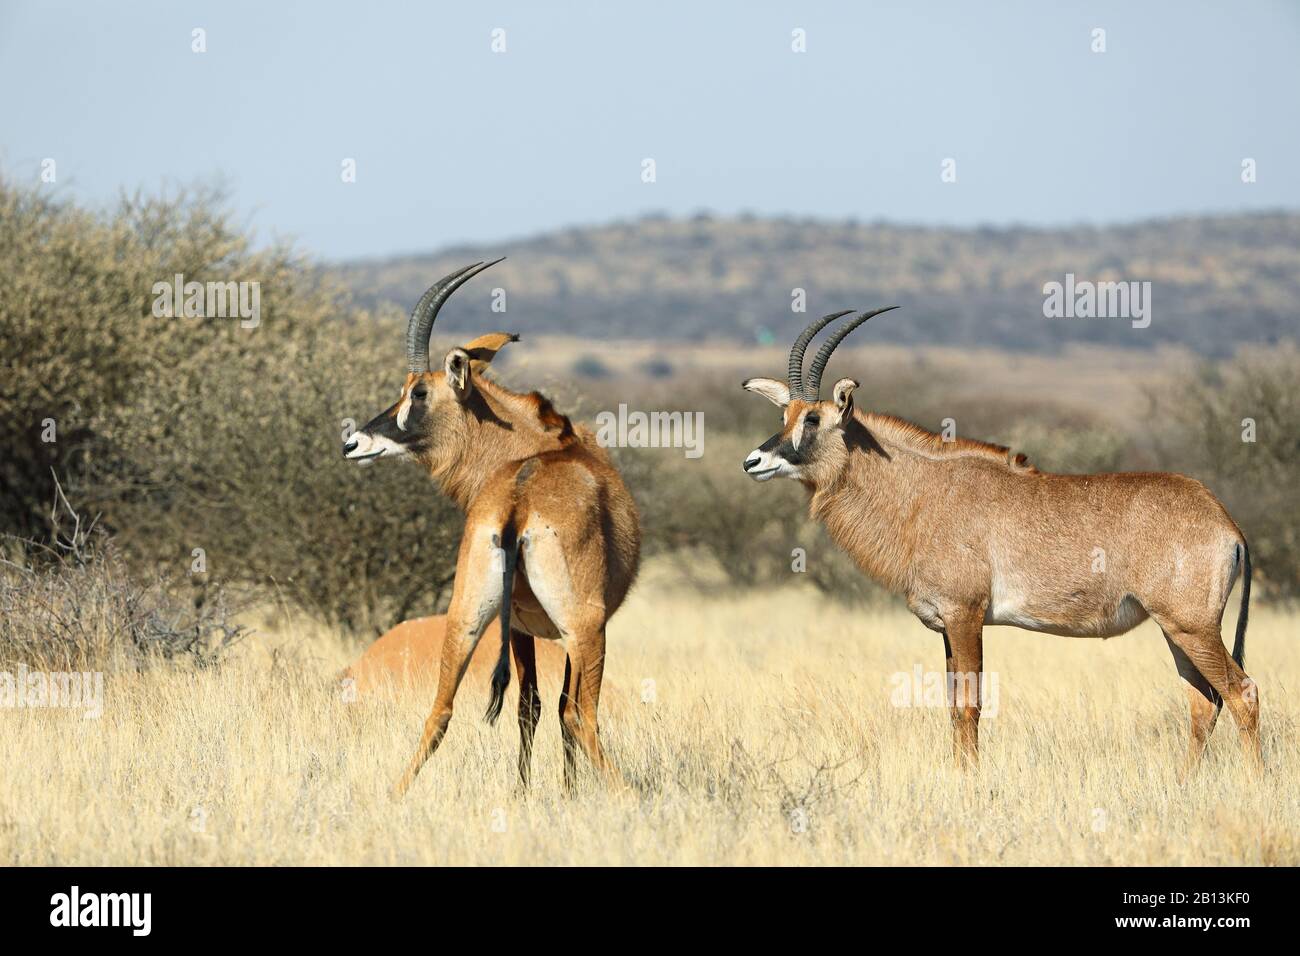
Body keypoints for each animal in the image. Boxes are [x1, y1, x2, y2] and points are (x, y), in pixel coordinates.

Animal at [343, 260, 642, 790]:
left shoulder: (520, 628)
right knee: (581, 716)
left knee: (440, 710)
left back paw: (396, 793)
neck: (534, 450)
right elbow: (557, 707)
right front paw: (566, 792)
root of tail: (518, 500)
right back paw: (627, 793)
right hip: (584, 627)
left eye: (418, 392)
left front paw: (525, 791)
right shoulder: (566, 631)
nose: (354, 442)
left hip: (465, 616)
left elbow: (529, 705)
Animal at [743, 310, 1258, 775]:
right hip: (1176, 629)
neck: (923, 490)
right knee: (1203, 702)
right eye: (785, 414)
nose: (753, 461)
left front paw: (970, 784)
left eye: (813, 418)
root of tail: (1227, 524)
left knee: (1240, 692)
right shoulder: (946, 624)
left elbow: (970, 707)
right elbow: (953, 707)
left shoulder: (965, 614)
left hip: (1191, 626)